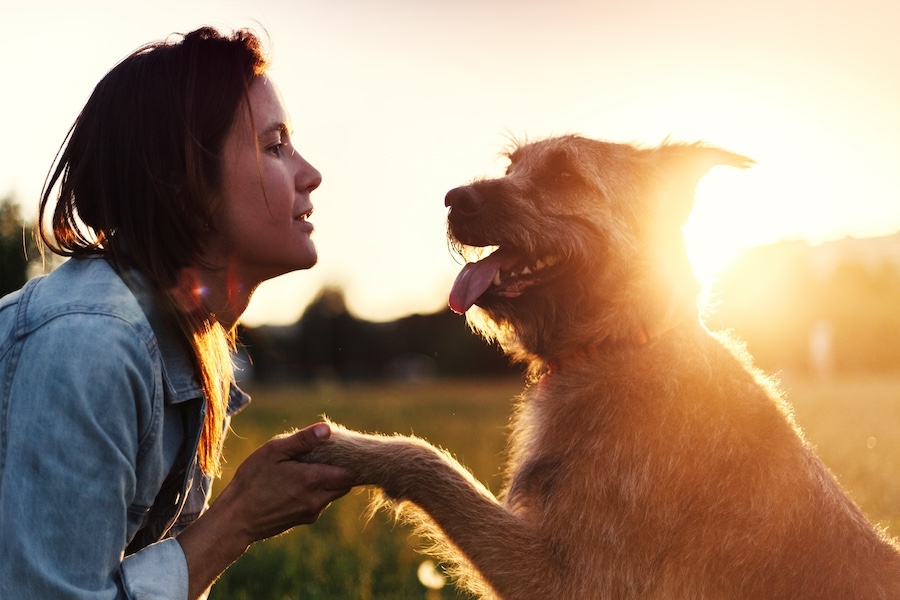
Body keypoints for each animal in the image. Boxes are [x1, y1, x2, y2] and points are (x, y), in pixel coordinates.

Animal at [304, 136, 900, 600]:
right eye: (511, 166)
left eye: (565, 176)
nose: (454, 198)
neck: (619, 345)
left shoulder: (574, 581)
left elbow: (430, 459)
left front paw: (344, 447)